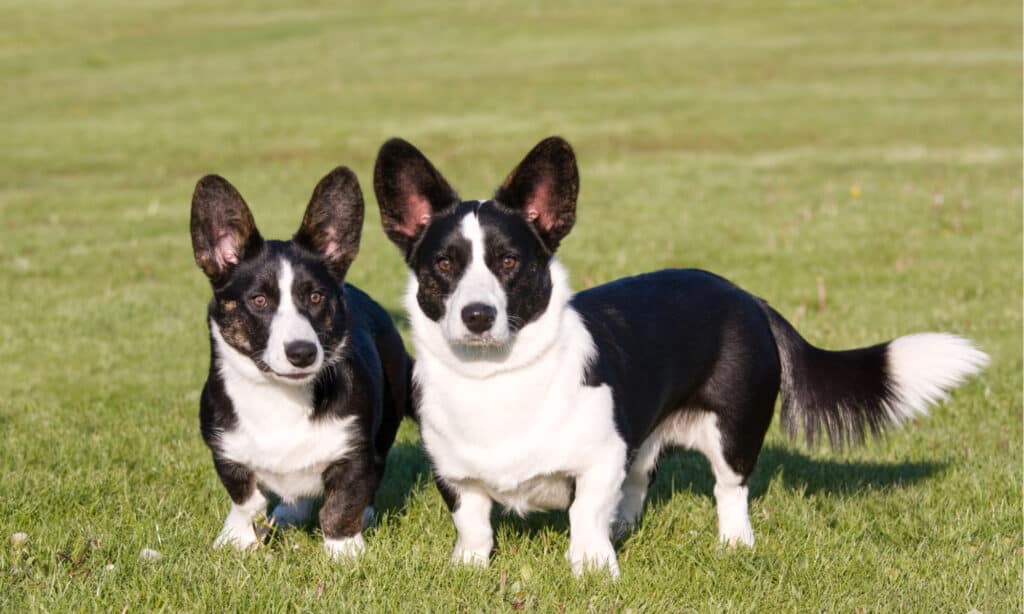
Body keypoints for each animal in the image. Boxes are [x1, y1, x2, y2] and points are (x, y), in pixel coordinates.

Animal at [188, 165, 411, 560]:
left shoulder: (354, 452)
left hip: (388, 420)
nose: (302, 352)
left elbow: (341, 505)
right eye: (259, 300)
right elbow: (247, 499)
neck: (279, 396)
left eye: (316, 296)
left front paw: (344, 552)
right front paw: (237, 539)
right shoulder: (225, 450)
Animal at [372, 134, 987, 577]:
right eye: (443, 265)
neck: (496, 378)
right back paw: (627, 527)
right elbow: (474, 524)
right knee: (640, 479)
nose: (477, 316)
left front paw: (593, 570)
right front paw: (469, 569)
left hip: (734, 429)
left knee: (729, 489)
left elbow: (583, 515)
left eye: (508, 262)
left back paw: (734, 545)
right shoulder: (455, 475)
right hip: (649, 435)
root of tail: (746, 297)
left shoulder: (597, 461)